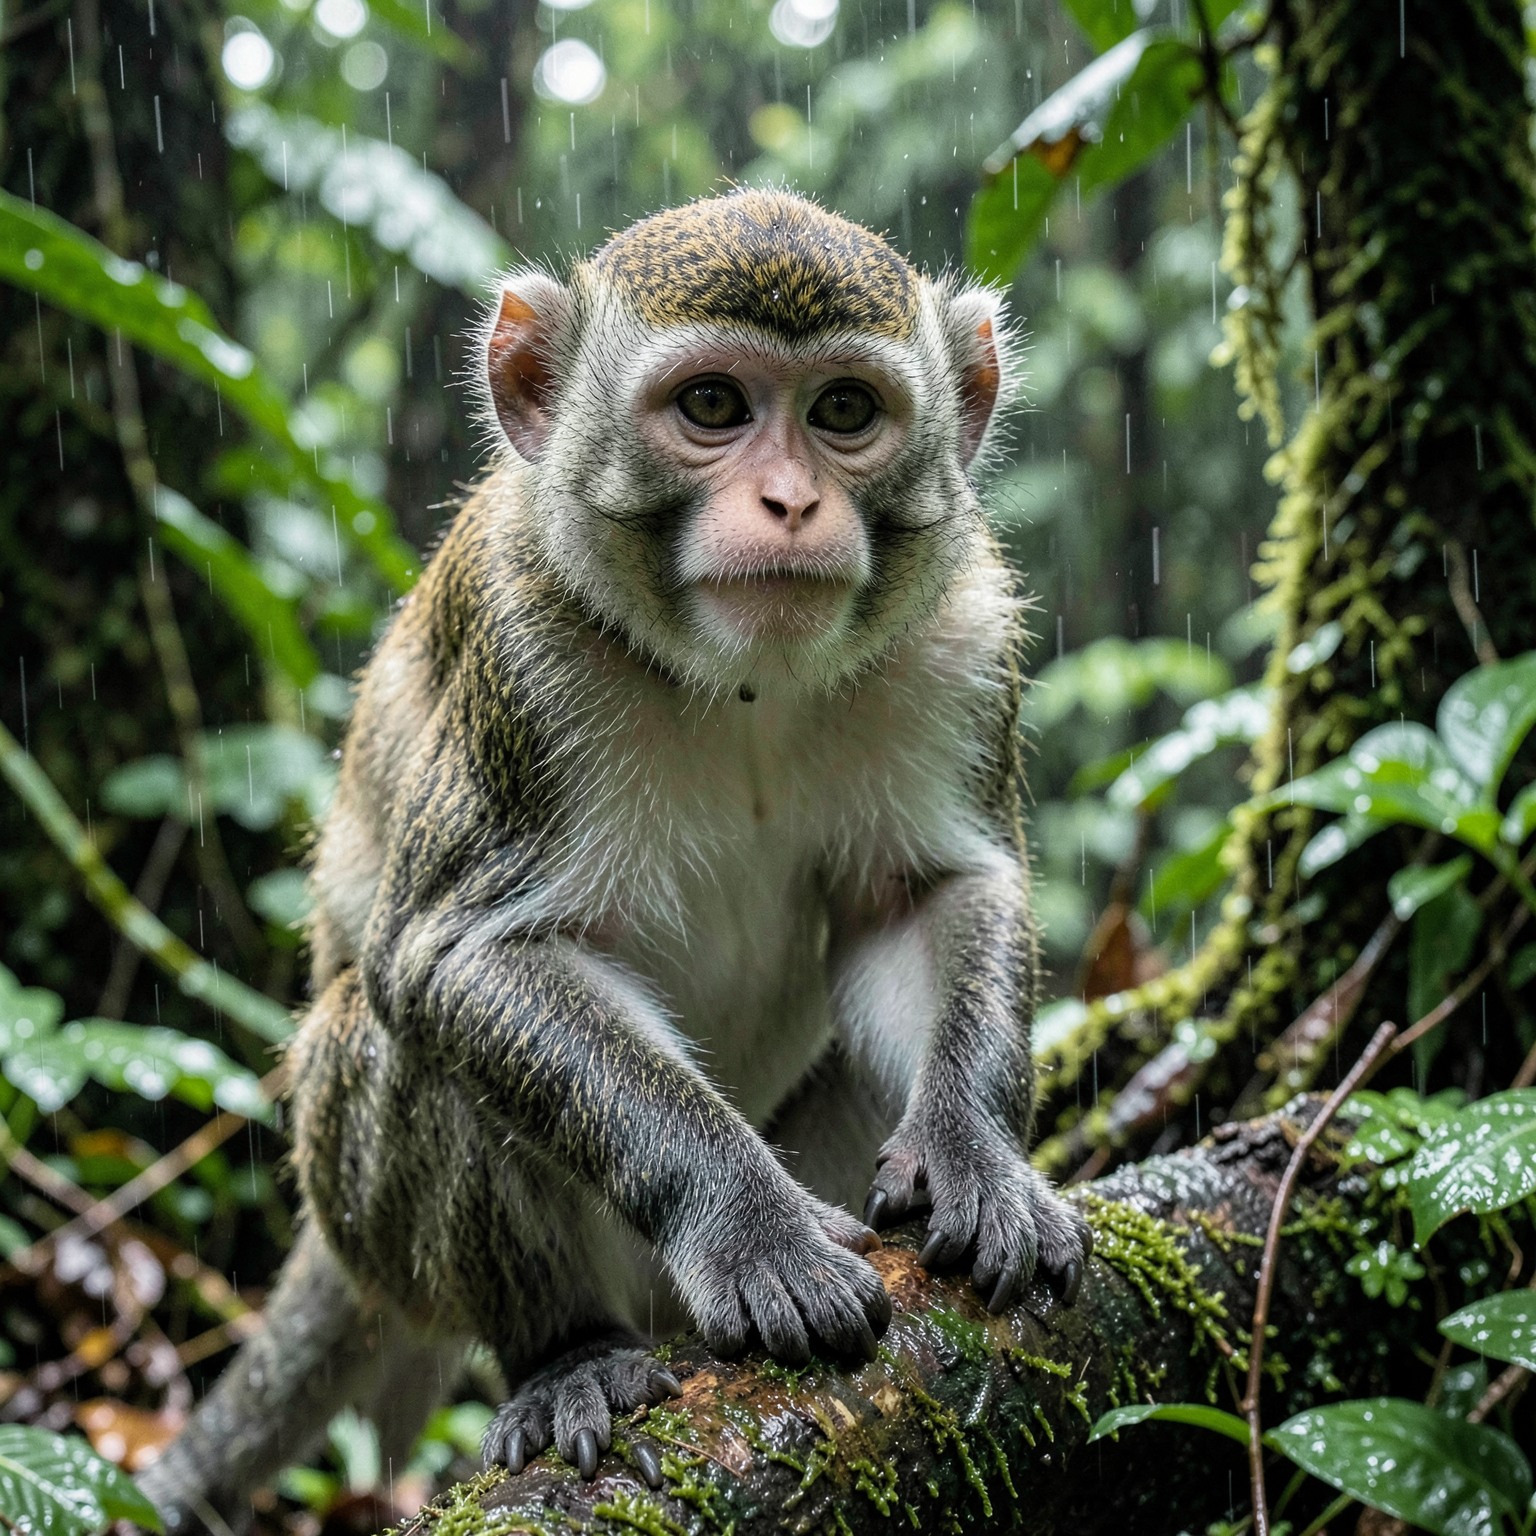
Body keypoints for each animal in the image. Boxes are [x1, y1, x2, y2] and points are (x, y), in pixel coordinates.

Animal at [138, 188, 1093, 1532]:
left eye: (844, 413)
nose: (792, 504)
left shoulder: (960, 632)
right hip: (366, 1211)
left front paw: (979, 1159)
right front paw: (745, 1224)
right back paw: (567, 1354)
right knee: (394, 1034)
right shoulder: (520, 648)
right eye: (714, 407)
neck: (744, 681)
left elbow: (925, 895)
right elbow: (456, 960)